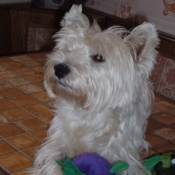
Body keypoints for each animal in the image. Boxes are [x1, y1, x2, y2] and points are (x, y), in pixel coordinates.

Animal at [29, 4, 159, 174]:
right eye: (69, 49)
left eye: (98, 57)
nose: (59, 69)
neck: (89, 113)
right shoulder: (55, 145)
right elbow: (52, 163)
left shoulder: (126, 155)